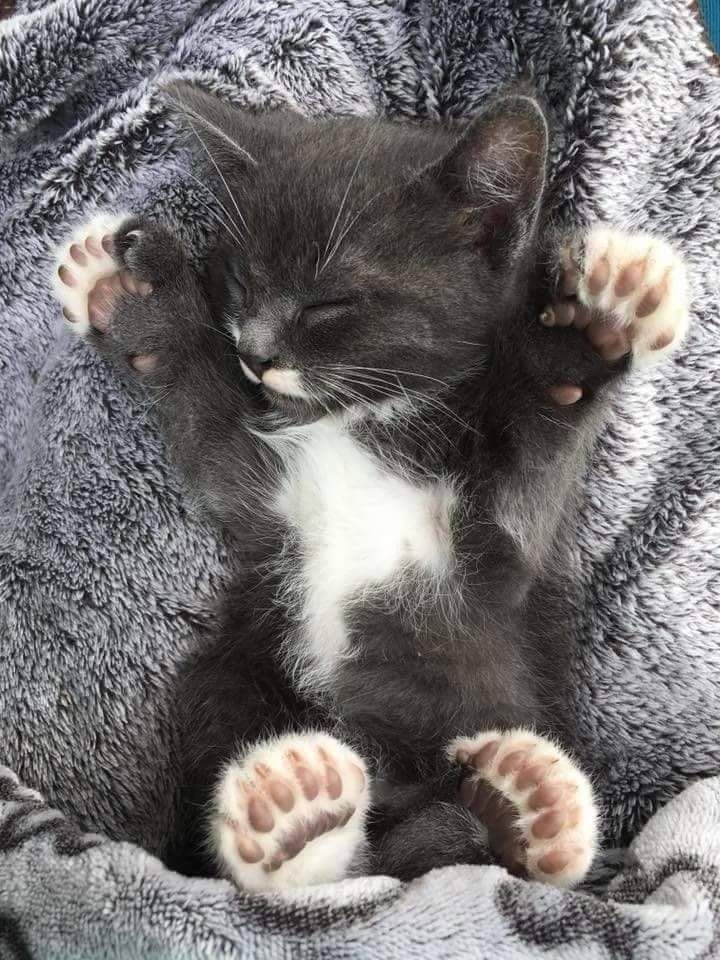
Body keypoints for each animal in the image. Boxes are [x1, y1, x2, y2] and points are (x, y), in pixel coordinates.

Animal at [53, 82, 688, 892]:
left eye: (328, 303)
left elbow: (540, 449)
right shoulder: (267, 491)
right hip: (236, 677)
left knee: (445, 850)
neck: (366, 422)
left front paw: (586, 327)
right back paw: (296, 817)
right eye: (241, 282)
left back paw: (528, 807)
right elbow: (205, 415)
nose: (257, 354)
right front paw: (141, 294)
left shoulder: (508, 537)